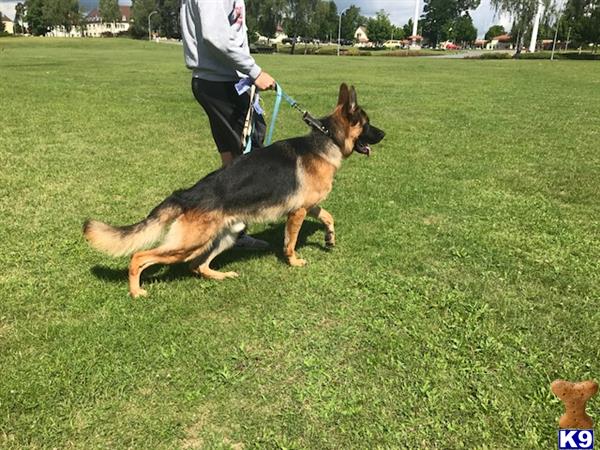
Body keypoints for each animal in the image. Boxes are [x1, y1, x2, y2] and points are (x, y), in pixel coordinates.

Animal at [83, 83, 384, 298]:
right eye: (368, 124)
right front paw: (294, 261)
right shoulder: (297, 212)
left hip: (224, 235)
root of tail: (186, 194)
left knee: (197, 266)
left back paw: (221, 276)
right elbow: (290, 242)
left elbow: (328, 217)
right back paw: (136, 291)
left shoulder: (308, 207)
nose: (385, 135)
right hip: (188, 243)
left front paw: (329, 238)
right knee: (139, 257)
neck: (327, 139)